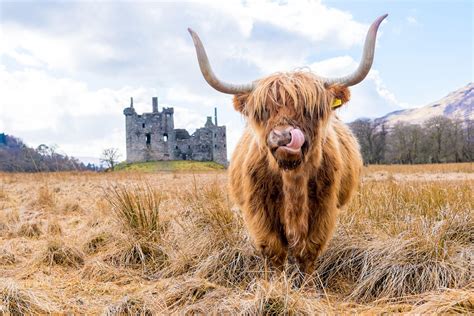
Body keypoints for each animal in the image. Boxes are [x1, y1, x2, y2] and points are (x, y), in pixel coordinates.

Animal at [189, 13, 388, 272]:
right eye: (263, 111)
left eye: (310, 109)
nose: (283, 137)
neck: (292, 180)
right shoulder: (259, 212)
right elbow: (273, 252)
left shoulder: (323, 210)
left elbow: (308, 252)